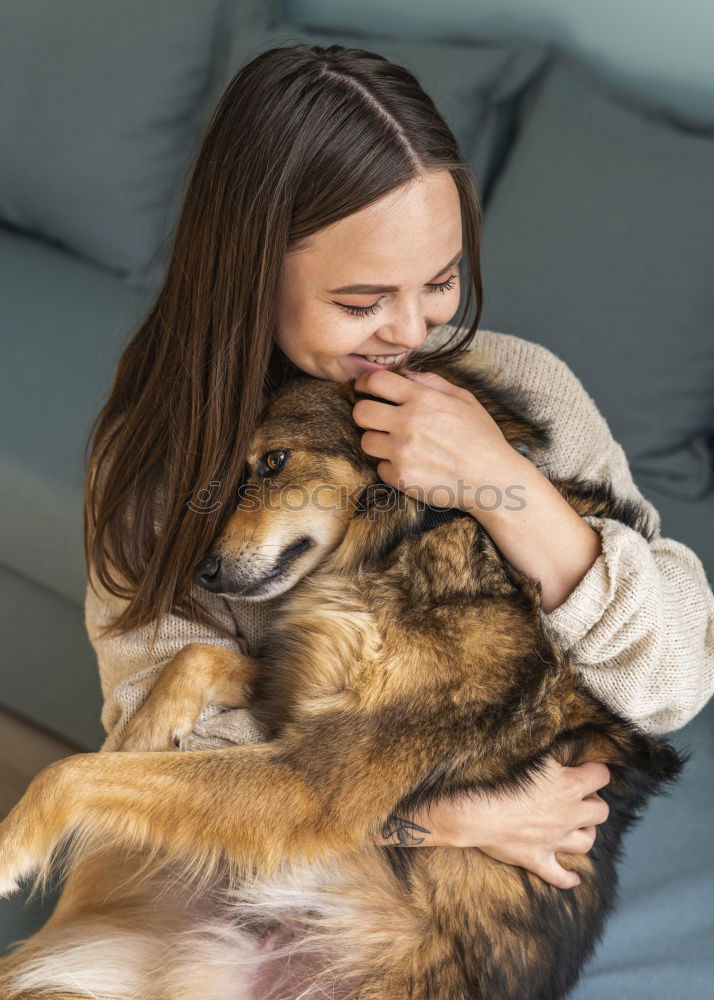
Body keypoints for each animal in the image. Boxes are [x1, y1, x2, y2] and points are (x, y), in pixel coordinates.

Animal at [0, 348, 684, 996]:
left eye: (274, 461)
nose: (202, 574)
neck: (406, 539)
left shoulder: (314, 780)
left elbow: (69, 773)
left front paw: (9, 850)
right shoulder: (295, 688)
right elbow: (195, 658)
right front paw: (141, 732)